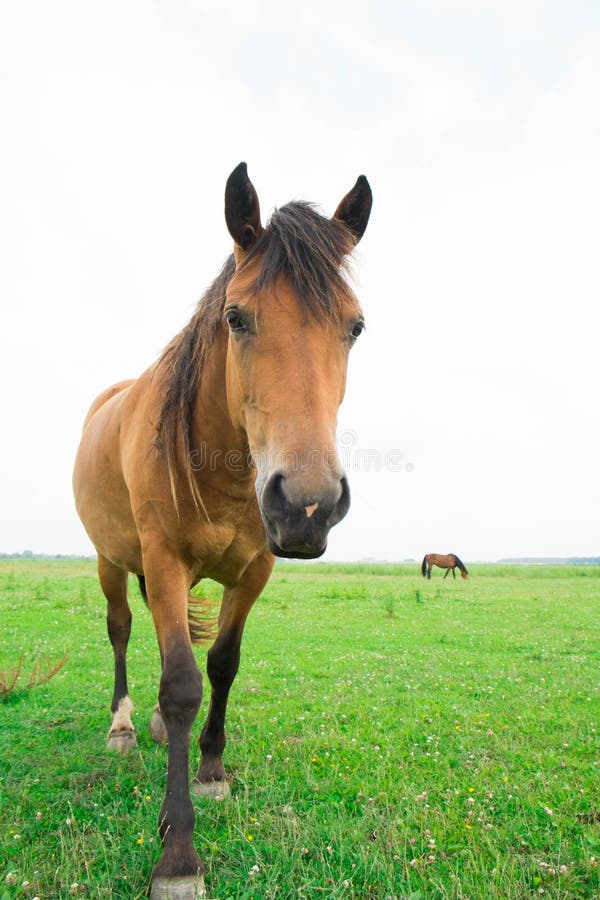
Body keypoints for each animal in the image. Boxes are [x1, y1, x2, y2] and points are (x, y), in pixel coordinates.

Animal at [72, 162, 372, 900]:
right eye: (237, 317)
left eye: (354, 326)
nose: (309, 504)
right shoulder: (165, 561)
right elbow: (182, 685)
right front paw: (178, 854)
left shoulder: (255, 570)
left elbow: (222, 665)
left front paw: (210, 771)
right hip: (111, 561)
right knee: (121, 630)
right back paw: (124, 725)